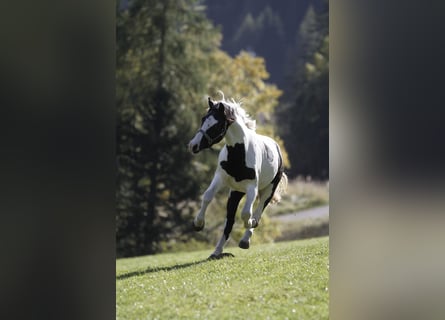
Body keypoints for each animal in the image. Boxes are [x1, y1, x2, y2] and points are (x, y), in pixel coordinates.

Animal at [187, 93, 288, 258]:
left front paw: (250, 224)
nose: (193, 145)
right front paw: (198, 224)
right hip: (235, 192)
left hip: (268, 191)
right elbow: (207, 196)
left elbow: (247, 214)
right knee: (229, 222)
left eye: (216, 125)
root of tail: (276, 146)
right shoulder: (220, 178)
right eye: (203, 119)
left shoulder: (252, 188)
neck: (239, 153)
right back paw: (217, 252)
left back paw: (245, 240)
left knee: (258, 212)